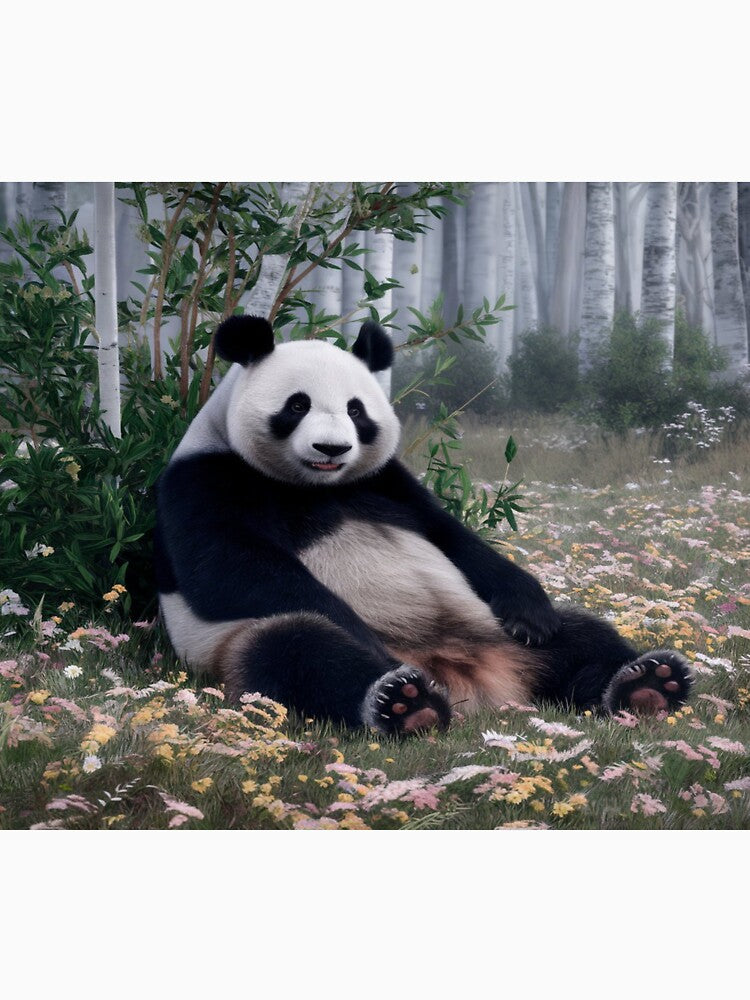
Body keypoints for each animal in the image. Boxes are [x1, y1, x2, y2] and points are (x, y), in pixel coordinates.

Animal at [155, 315, 693, 735]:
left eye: (355, 409)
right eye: (297, 405)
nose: (332, 448)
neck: (316, 486)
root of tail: (478, 682)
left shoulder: (387, 481)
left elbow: (451, 535)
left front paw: (530, 607)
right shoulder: (203, 479)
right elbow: (225, 569)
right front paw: (362, 638)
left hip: (493, 627)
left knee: (582, 637)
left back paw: (645, 684)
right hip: (237, 641)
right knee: (297, 650)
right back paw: (404, 704)